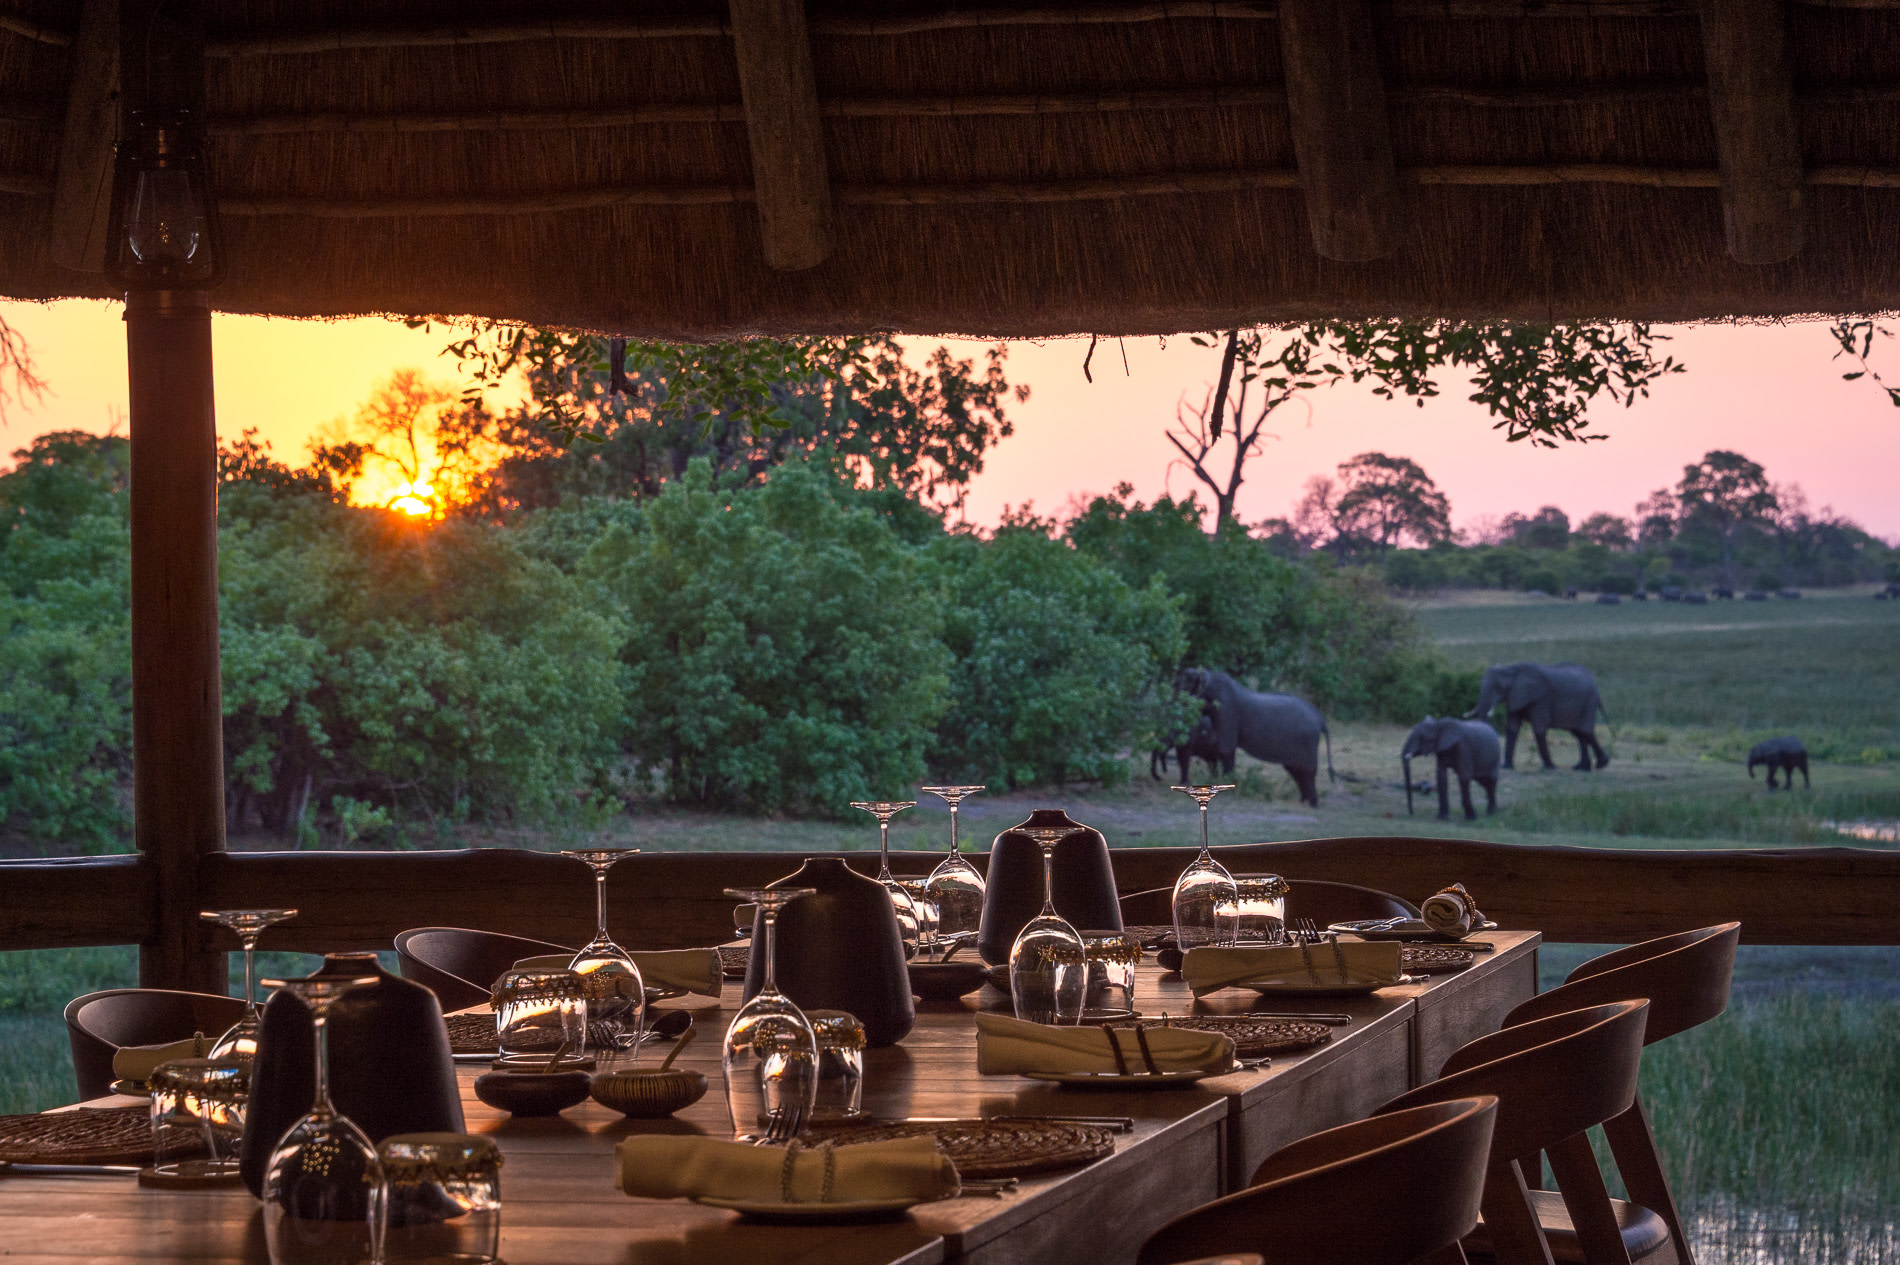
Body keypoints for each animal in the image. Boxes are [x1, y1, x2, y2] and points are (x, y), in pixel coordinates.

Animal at [1170, 664, 1337, 801]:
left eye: (1180, 686)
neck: (1206, 675)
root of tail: (1320, 719)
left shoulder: (1226, 710)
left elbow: (1225, 749)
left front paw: (1228, 785)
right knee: (1296, 771)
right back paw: (1304, 801)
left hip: (1308, 742)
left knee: (1308, 772)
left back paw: (1313, 804)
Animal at [1459, 660, 1611, 767]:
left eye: (1499, 687)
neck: (1511, 670)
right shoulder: (1515, 696)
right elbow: (1512, 728)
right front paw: (1506, 766)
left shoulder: (1541, 698)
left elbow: (1538, 728)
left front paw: (1549, 767)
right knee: (1579, 733)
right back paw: (1581, 767)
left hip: (1589, 702)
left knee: (1585, 731)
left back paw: (1601, 764)